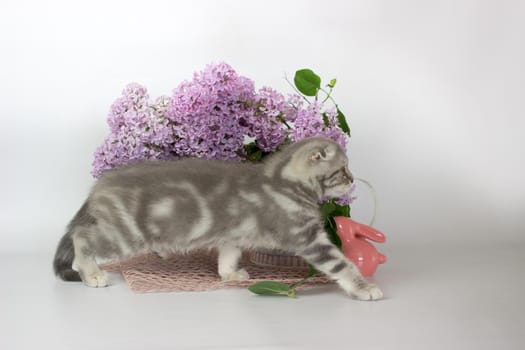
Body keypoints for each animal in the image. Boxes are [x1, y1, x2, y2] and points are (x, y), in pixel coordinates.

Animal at [52, 137, 380, 300]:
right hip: (126, 234)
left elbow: (228, 256)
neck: (282, 181)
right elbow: (341, 263)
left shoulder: (232, 233)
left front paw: (229, 275)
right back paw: (92, 273)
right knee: (82, 237)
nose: (353, 180)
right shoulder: (308, 237)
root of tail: (100, 186)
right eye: (343, 170)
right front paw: (364, 288)